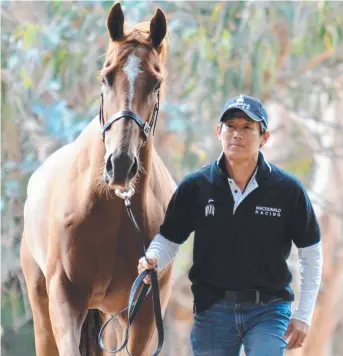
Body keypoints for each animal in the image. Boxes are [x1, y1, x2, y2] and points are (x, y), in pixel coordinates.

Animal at [21, 3, 176, 356]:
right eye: (105, 77)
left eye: (156, 84)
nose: (120, 165)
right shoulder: (65, 301)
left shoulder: (142, 315)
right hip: (42, 311)